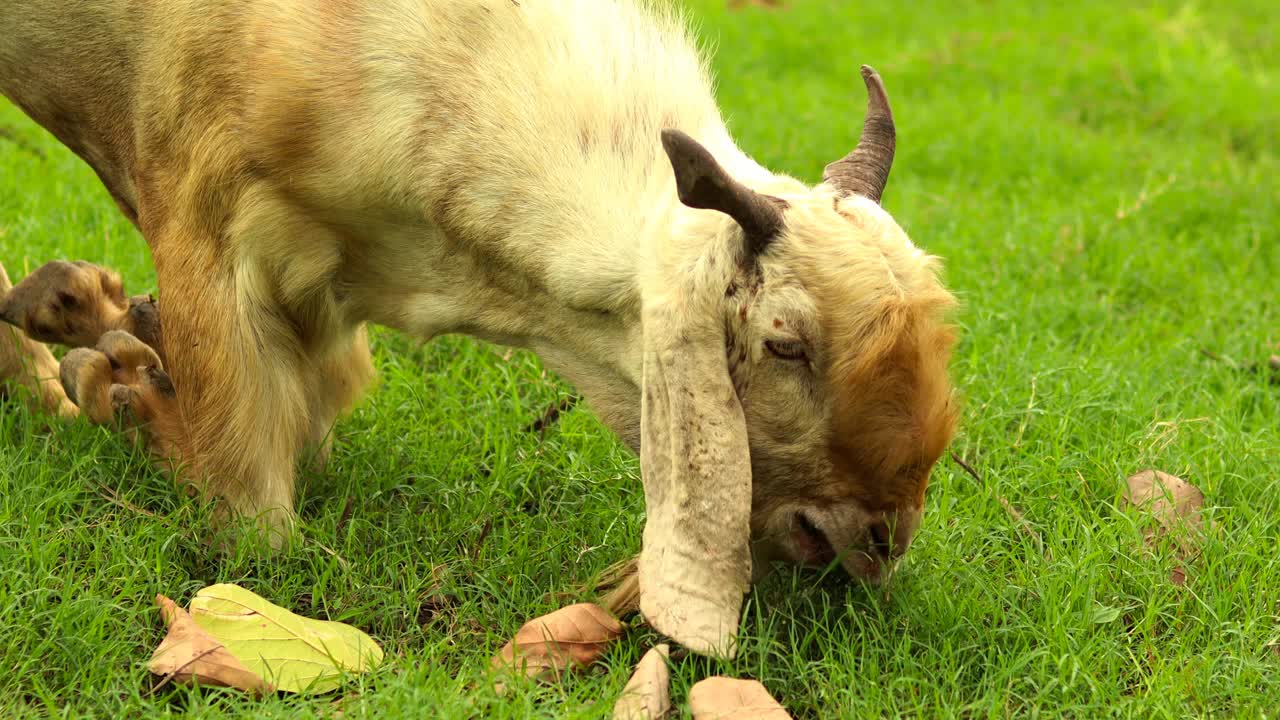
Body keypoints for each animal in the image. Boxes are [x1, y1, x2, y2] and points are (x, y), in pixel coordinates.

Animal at [0, 0, 957, 655]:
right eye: (786, 343)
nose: (882, 539)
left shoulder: (323, 320)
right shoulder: (205, 234)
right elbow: (251, 522)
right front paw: (116, 381)